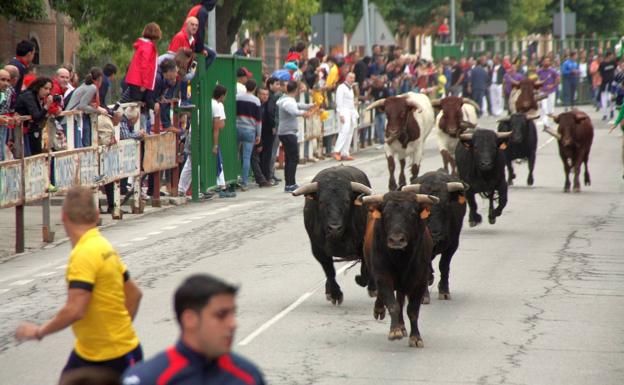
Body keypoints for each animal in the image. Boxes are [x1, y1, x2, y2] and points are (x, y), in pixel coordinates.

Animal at [294, 165, 376, 304]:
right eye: (321, 202)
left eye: (347, 201)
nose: (334, 228)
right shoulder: (318, 249)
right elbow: (329, 271)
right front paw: (335, 294)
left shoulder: (364, 242)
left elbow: (365, 267)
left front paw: (369, 285)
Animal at [360, 190, 438, 346]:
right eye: (386, 213)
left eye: (412, 213)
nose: (396, 240)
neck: (401, 258)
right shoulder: (383, 277)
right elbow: (392, 305)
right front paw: (394, 331)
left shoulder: (419, 281)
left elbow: (412, 310)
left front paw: (415, 337)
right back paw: (380, 311)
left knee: (401, 300)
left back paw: (402, 326)